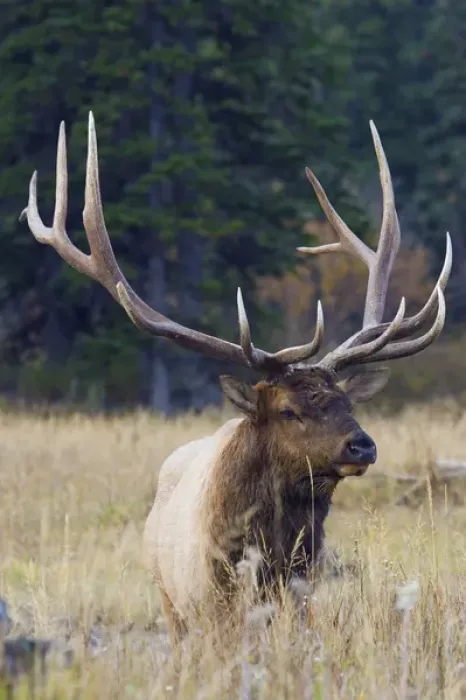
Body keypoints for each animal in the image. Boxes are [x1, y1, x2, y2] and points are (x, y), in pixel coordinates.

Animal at [20, 113, 451, 644]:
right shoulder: (211, 614)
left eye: (347, 403)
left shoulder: (299, 604)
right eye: (288, 410)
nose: (362, 446)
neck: (263, 567)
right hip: (170, 606)